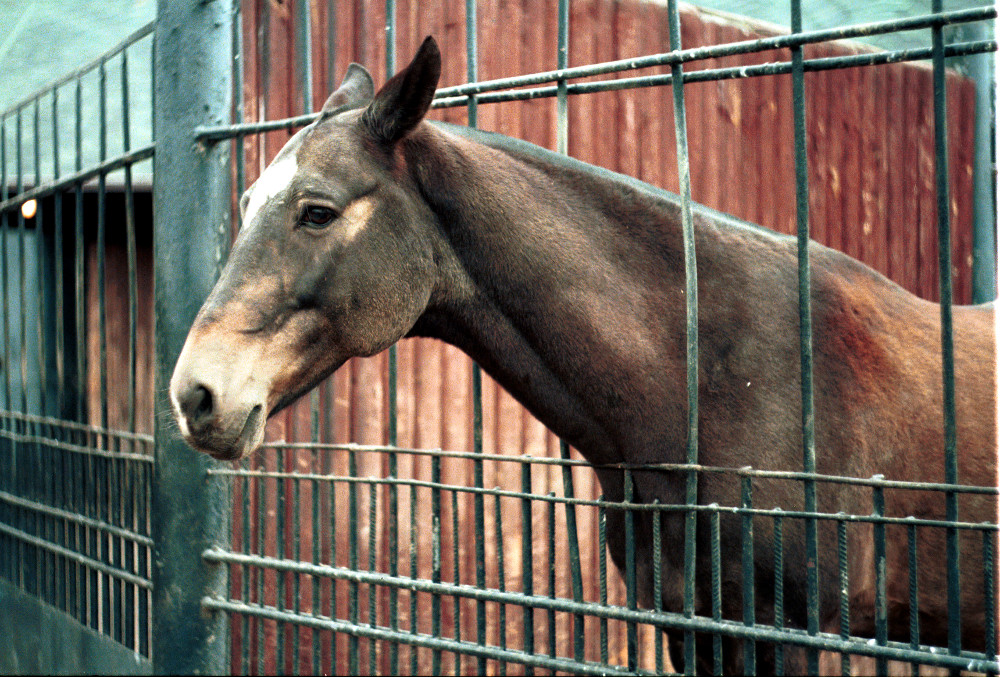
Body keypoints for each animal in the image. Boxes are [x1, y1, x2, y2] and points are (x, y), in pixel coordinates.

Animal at [170, 38, 992, 676]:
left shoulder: (779, 634)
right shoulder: (691, 627)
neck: (714, 381)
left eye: (318, 211)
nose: (194, 394)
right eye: (247, 204)